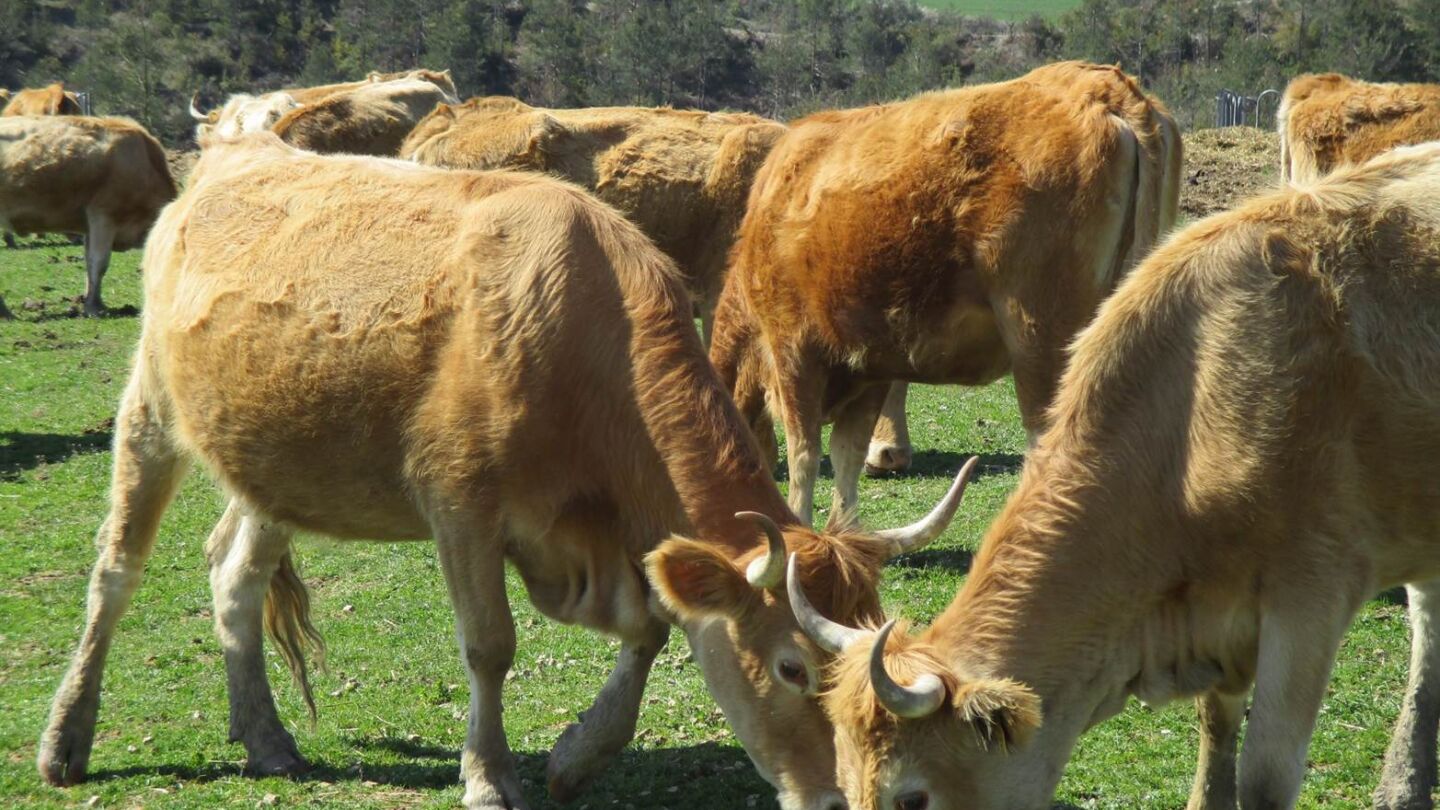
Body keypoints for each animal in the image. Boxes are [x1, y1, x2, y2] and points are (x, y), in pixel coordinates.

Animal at [0, 116, 175, 317]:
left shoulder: (90, 226)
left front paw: (94, 301)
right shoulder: (103, 215)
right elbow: (100, 263)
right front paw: (93, 306)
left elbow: (89, 263)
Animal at [36, 132, 972, 810]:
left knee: (234, 574)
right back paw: (66, 740)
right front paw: (489, 777)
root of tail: (238, 149)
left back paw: (265, 736)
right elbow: (490, 646)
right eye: (791, 669)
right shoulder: (460, 506)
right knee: (115, 571)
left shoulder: (599, 535)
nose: (834, 800)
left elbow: (650, 628)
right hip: (151, 412)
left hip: (277, 461)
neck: (586, 338)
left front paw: (576, 755)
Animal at [710, 61, 1181, 526]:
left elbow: (805, 456)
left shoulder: (793, 351)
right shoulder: (869, 366)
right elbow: (846, 456)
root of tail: (1104, 86)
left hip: (1041, 339)